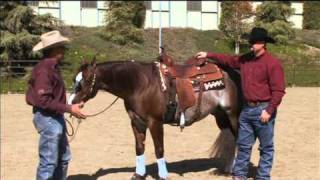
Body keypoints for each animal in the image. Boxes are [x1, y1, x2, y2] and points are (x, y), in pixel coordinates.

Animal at [69, 53, 240, 180]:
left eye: (84, 80)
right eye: (74, 80)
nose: (71, 103)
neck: (140, 85)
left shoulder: (155, 122)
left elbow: (159, 149)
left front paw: (163, 175)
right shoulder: (136, 122)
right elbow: (139, 148)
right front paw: (138, 174)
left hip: (233, 115)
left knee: (239, 139)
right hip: (220, 116)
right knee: (231, 139)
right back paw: (226, 170)